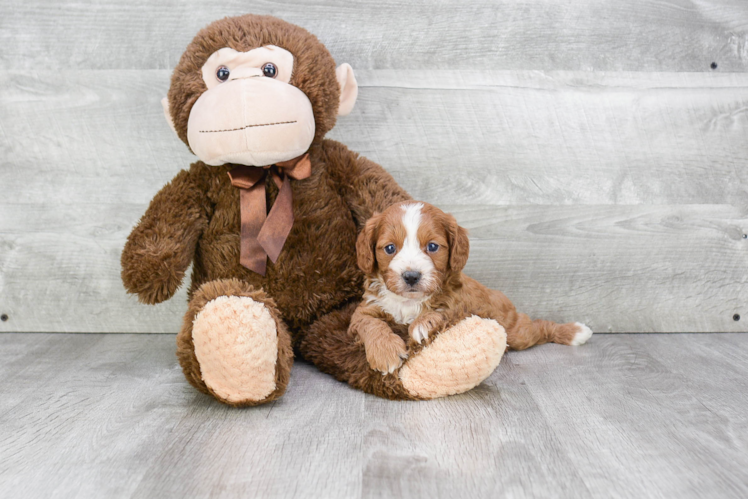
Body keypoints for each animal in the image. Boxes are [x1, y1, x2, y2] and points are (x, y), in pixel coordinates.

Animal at [350, 201, 592, 374]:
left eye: (432, 246)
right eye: (390, 248)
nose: (411, 276)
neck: (410, 301)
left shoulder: (460, 304)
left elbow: (443, 312)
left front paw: (423, 324)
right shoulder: (366, 308)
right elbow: (369, 323)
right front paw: (385, 353)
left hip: (515, 330)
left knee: (539, 327)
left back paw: (576, 332)